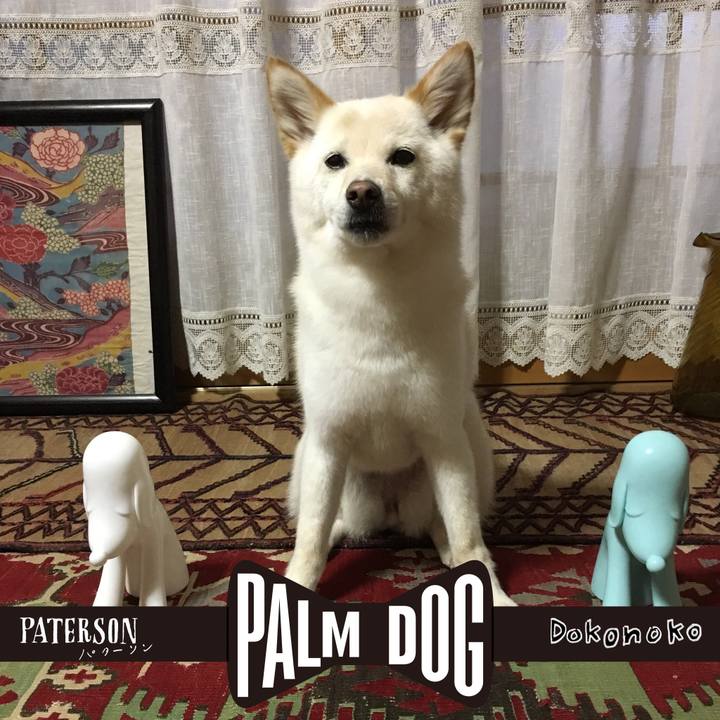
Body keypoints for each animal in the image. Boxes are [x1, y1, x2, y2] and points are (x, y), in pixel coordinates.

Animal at [266, 41, 515, 606]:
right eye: (335, 161)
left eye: (402, 157)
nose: (362, 192)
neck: (376, 298)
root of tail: (389, 514)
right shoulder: (329, 439)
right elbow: (309, 538)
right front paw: (296, 586)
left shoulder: (443, 439)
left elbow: (469, 536)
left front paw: (491, 591)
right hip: (311, 463)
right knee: (327, 524)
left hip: (471, 451)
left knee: (446, 527)